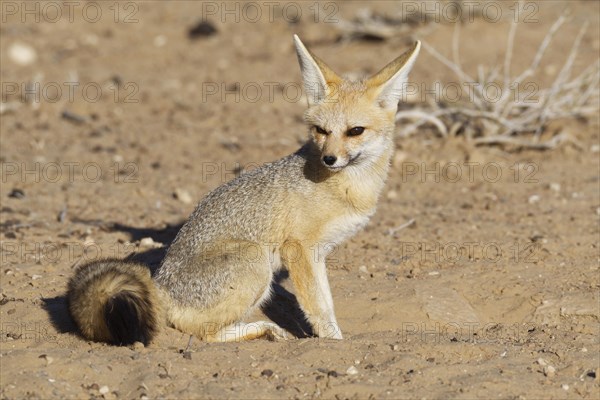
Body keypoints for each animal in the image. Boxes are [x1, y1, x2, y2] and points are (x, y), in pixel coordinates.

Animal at [67, 36, 422, 346]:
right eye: (321, 131)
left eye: (355, 131)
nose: (329, 158)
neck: (348, 187)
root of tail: (161, 286)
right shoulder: (299, 249)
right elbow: (318, 308)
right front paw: (333, 342)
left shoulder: (318, 253)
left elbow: (327, 303)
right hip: (256, 259)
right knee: (204, 333)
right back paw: (263, 329)